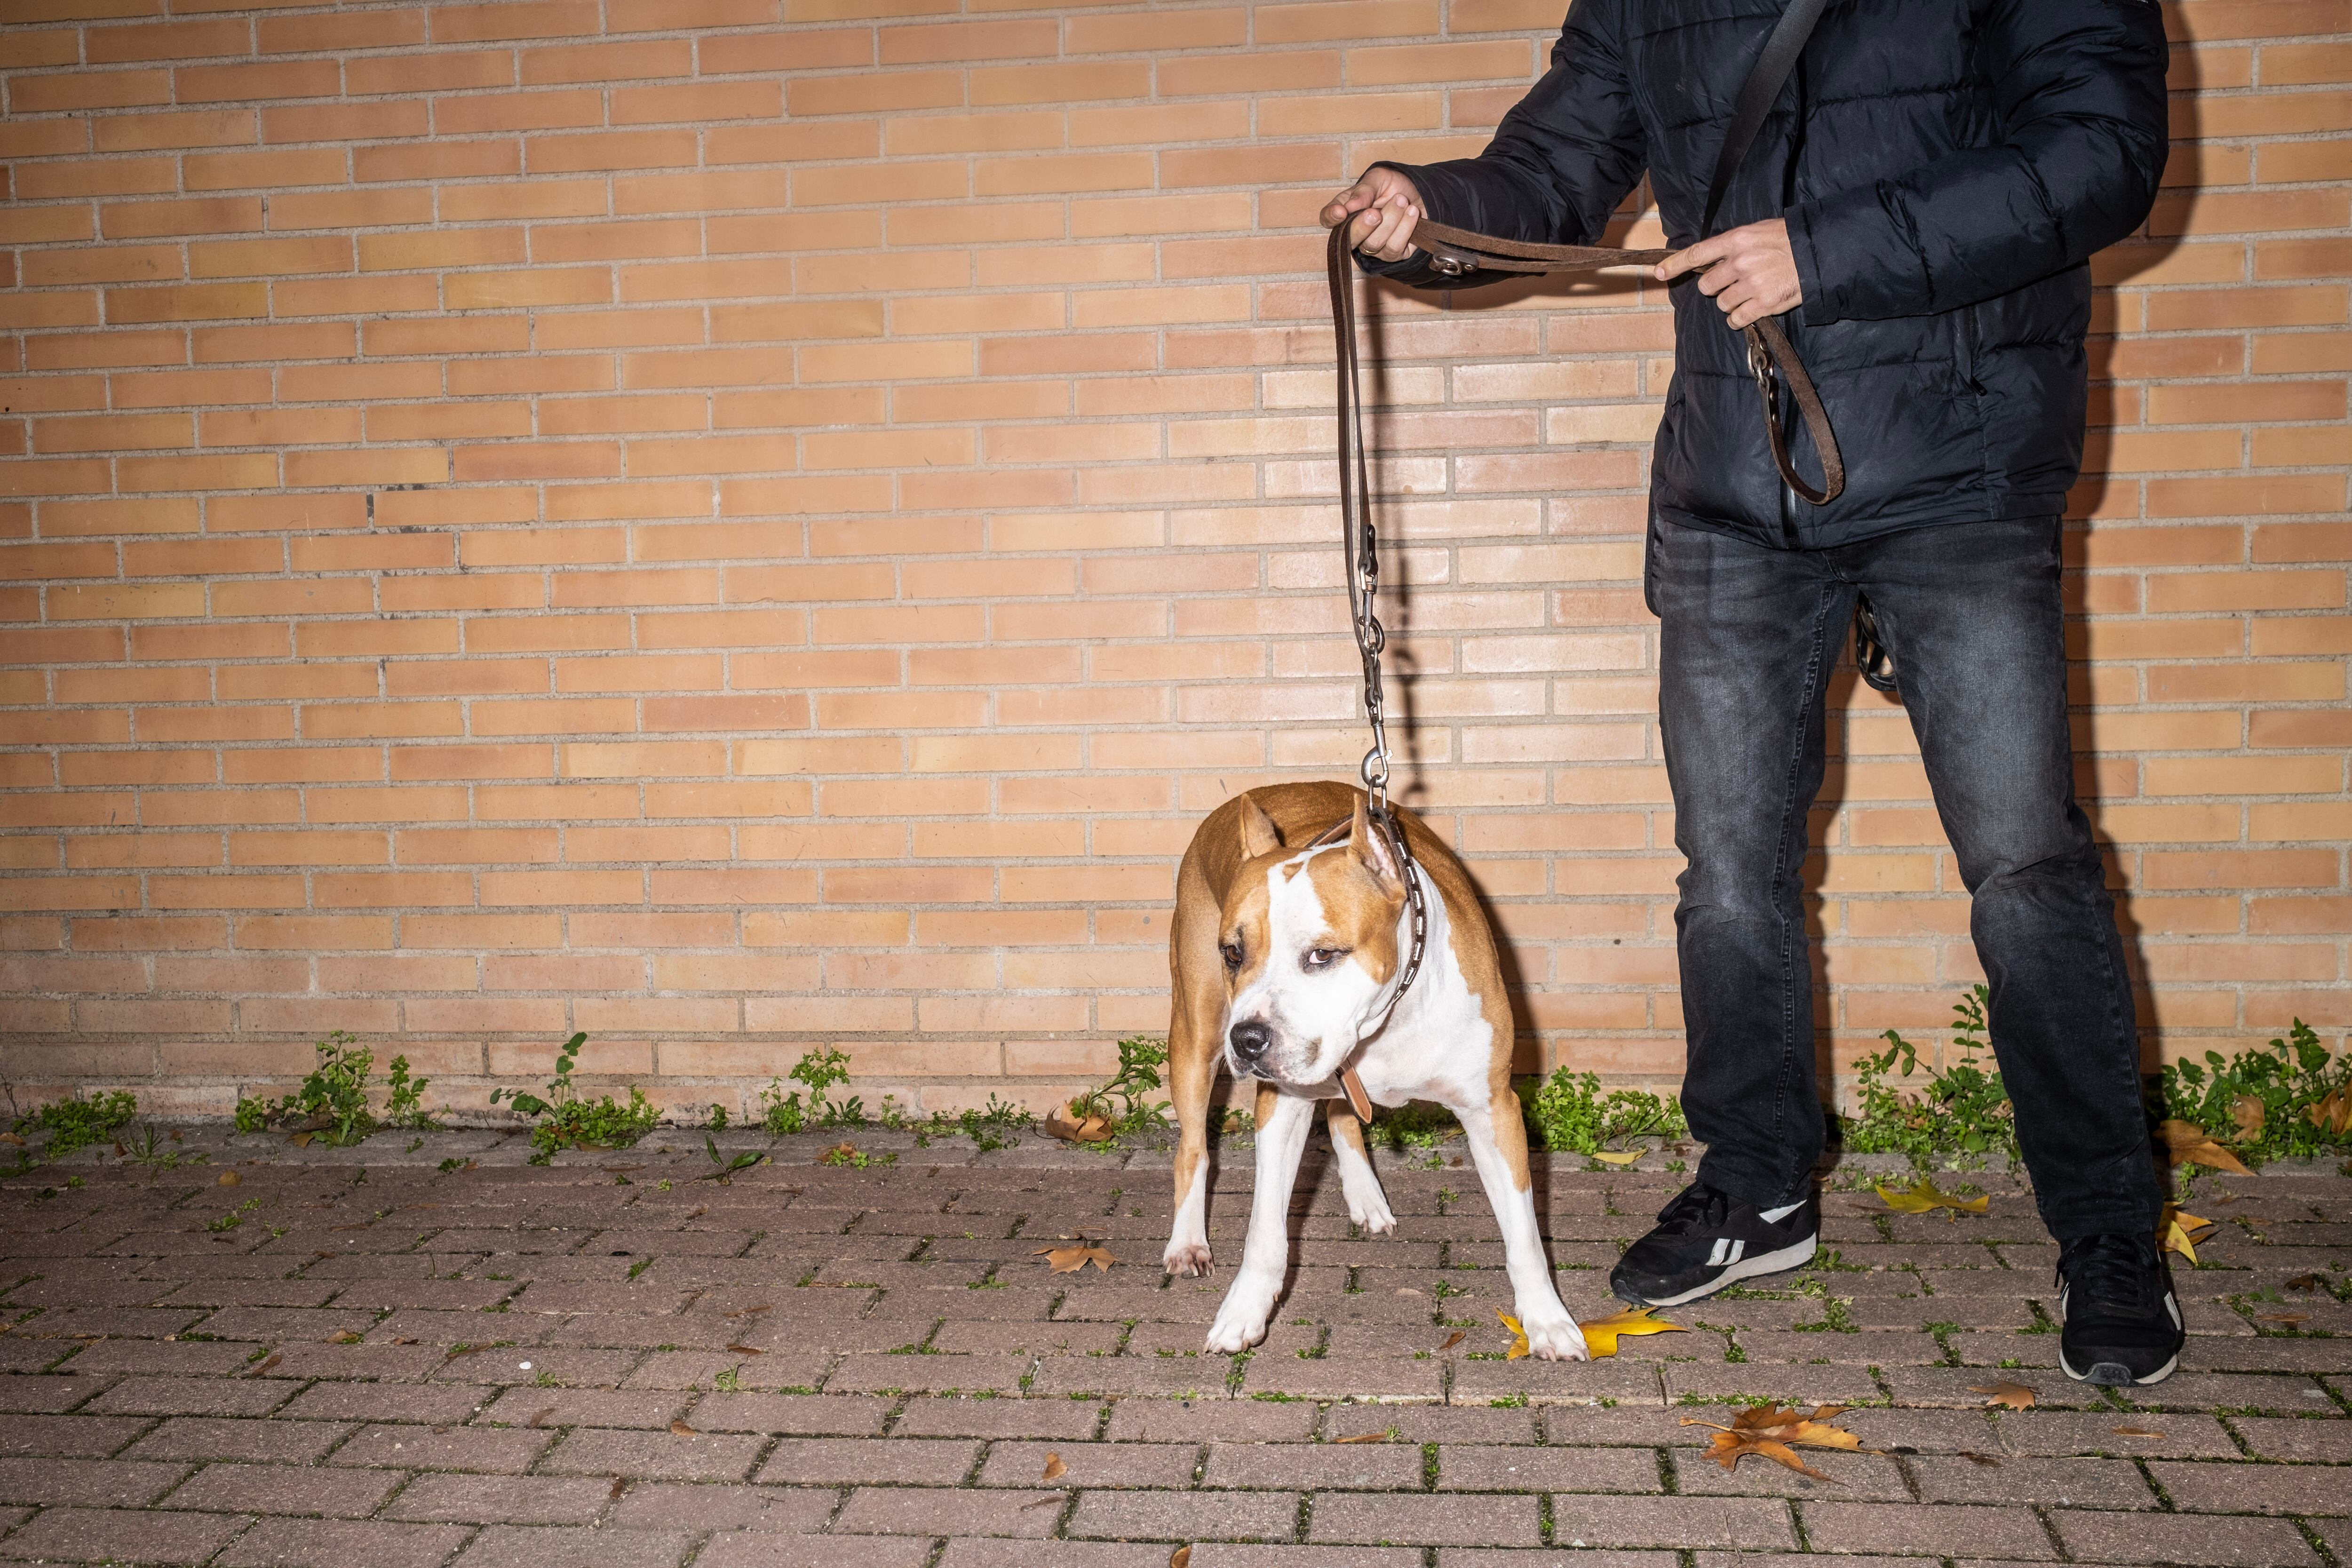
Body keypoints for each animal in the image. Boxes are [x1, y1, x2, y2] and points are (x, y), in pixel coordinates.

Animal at [1162, 780, 1590, 1363]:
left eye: (1322, 955)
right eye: (1233, 952)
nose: (1247, 1039)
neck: (1388, 1018)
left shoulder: (1493, 1109)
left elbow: (1524, 1235)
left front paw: (1547, 1320)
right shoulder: (1281, 1104)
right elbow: (1264, 1231)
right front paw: (1244, 1310)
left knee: (1341, 1115)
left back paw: (1365, 1195)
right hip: (1194, 1035)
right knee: (1193, 1150)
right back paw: (1187, 1242)